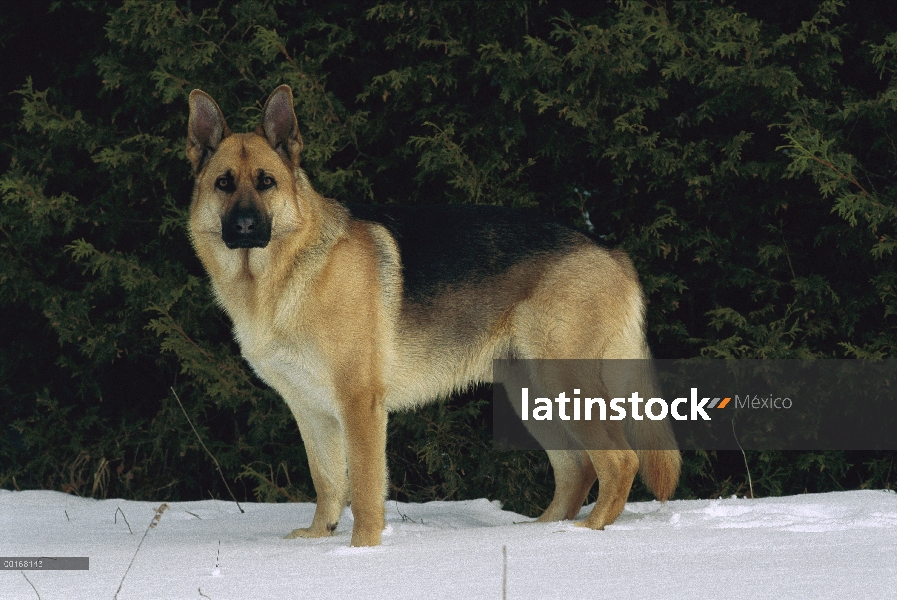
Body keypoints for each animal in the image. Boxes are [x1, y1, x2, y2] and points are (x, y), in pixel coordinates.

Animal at [189, 85, 680, 548]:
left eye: (266, 182)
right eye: (224, 184)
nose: (245, 227)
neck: (288, 271)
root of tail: (610, 252)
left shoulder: (359, 406)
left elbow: (363, 489)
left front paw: (361, 550)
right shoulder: (311, 411)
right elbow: (327, 481)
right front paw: (319, 538)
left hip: (562, 384)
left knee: (619, 461)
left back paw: (586, 533)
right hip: (532, 396)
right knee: (577, 469)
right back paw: (542, 531)